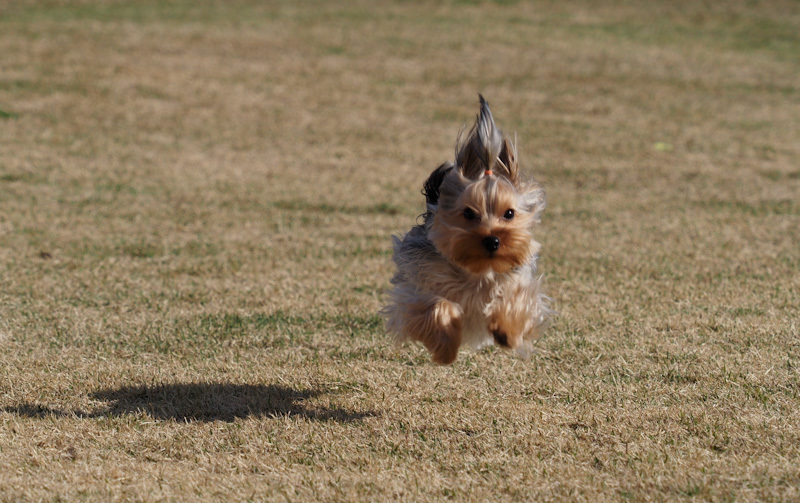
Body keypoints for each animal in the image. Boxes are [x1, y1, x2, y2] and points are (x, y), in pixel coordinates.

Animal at [382, 94, 552, 364]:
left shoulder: (519, 285)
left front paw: (506, 332)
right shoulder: (415, 292)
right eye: (469, 213)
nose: (493, 241)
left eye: (509, 213)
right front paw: (445, 348)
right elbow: (434, 306)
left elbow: (517, 301)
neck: (478, 271)